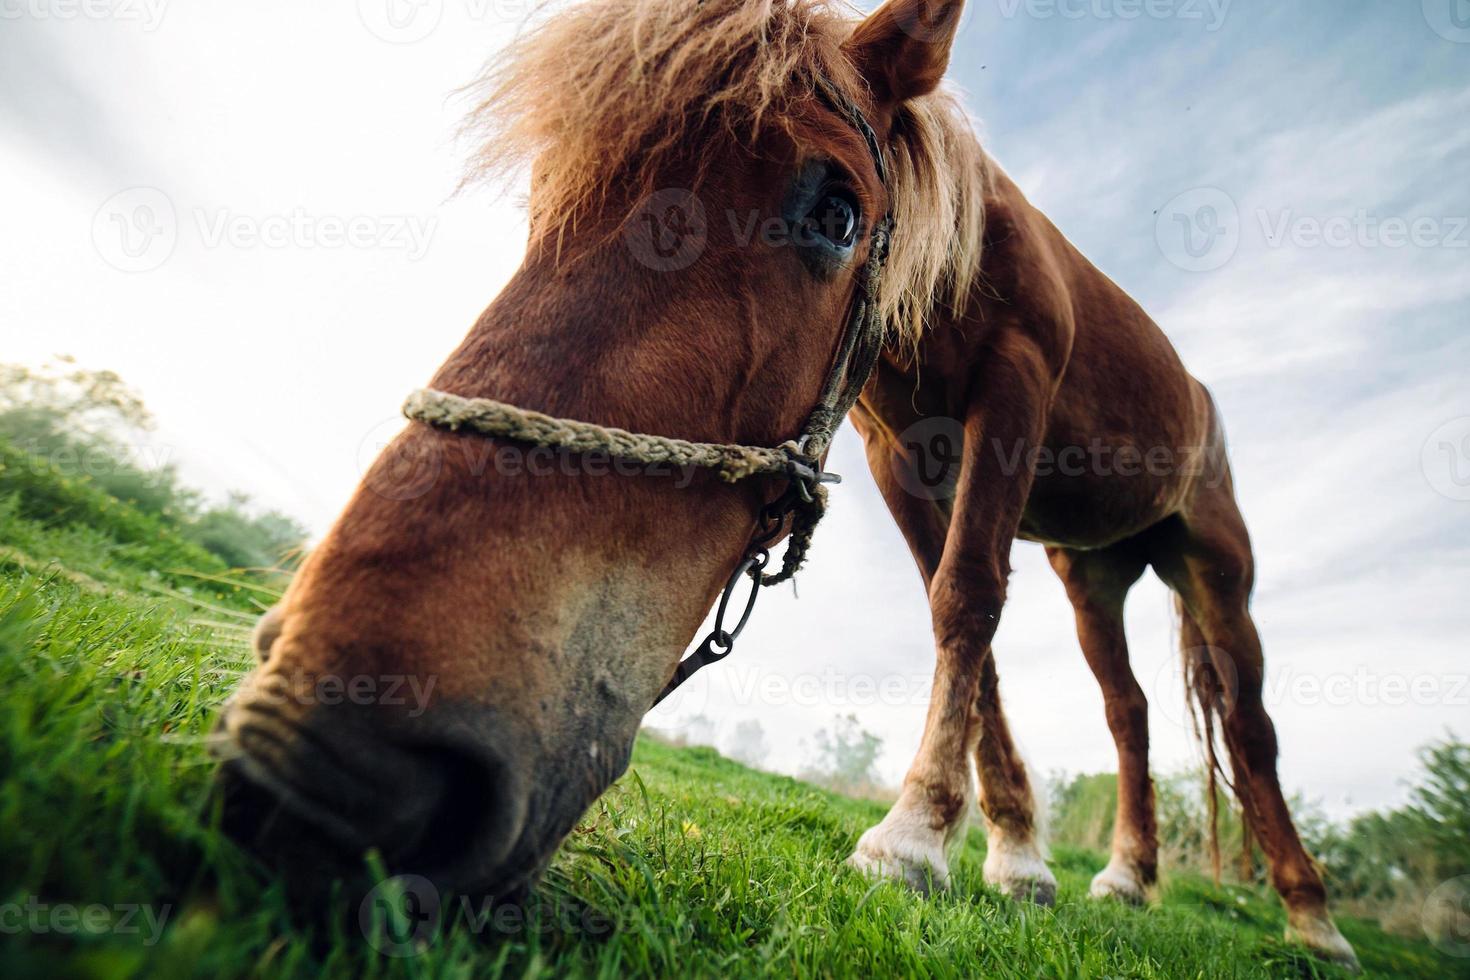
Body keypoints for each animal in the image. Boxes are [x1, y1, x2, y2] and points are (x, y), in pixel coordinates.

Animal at [214, 0, 1352, 963]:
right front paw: (1014, 855)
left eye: (839, 212)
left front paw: (912, 838)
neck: (963, 259)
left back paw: (1312, 918)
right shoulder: (903, 458)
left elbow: (970, 599)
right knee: (1129, 711)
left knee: (1248, 726)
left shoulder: (1014, 393)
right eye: (551, 198)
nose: (333, 756)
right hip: (1094, 571)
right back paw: (1127, 877)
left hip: (1213, 565)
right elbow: (964, 626)